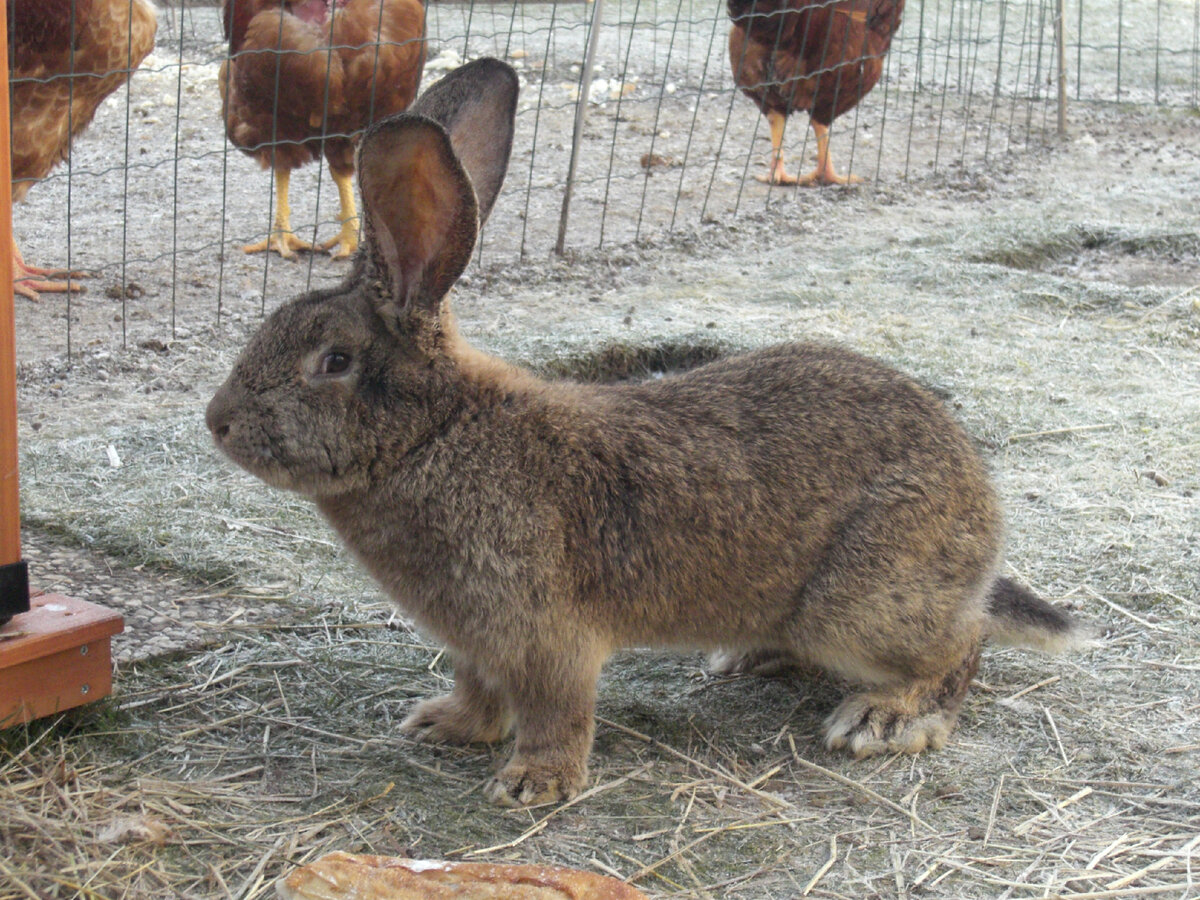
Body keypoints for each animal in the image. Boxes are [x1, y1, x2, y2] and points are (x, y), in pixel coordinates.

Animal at [208, 60, 1089, 816]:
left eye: (333, 361)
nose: (217, 422)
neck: (436, 433)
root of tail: (982, 520)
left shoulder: (544, 633)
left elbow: (557, 711)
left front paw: (534, 784)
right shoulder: (477, 642)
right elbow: (480, 693)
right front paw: (444, 724)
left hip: (859, 601)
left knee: (958, 646)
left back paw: (885, 718)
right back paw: (751, 657)